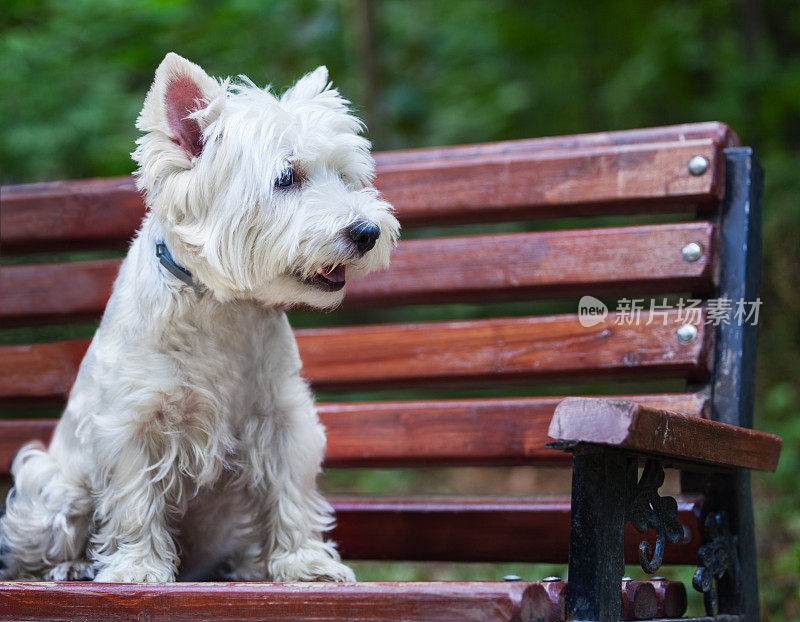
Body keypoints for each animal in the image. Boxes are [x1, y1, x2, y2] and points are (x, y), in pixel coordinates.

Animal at [0, 53, 398, 584]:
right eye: (286, 178)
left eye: (345, 175)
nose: (368, 231)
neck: (220, 306)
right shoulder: (132, 424)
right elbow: (134, 502)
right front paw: (137, 568)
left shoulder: (282, 419)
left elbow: (290, 493)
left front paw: (304, 562)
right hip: (49, 488)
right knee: (45, 542)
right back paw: (72, 567)